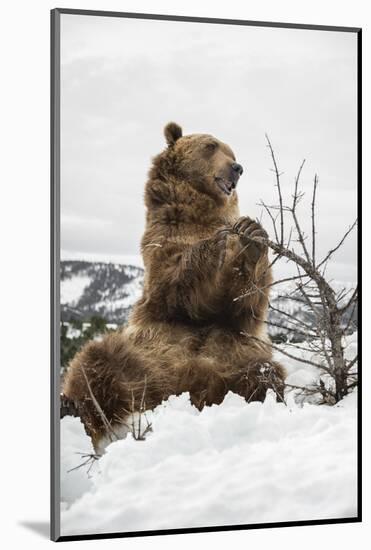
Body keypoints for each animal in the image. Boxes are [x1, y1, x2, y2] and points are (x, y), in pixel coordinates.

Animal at [62, 124, 286, 452]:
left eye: (231, 150)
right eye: (211, 146)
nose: (237, 168)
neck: (199, 213)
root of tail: (179, 386)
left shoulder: (236, 323)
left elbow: (243, 306)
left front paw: (251, 236)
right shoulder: (163, 244)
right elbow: (179, 285)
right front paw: (219, 242)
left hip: (231, 354)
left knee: (262, 373)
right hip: (141, 353)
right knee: (95, 361)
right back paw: (86, 411)